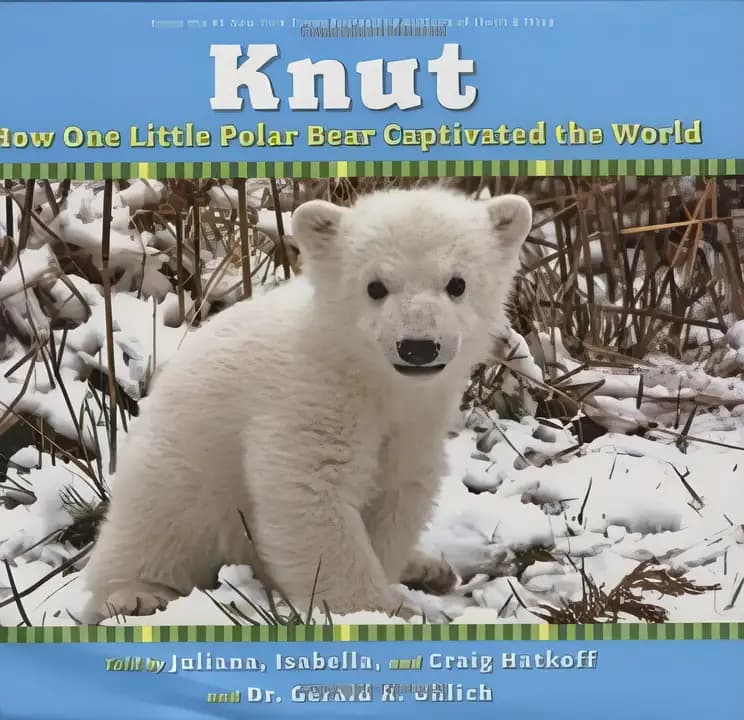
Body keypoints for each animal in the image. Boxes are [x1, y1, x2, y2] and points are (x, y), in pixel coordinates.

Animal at [80, 186, 532, 624]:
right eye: (375, 286)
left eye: (457, 283)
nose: (418, 347)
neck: (366, 374)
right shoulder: (308, 397)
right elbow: (310, 493)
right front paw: (378, 610)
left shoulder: (417, 421)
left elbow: (398, 493)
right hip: (177, 474)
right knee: (153, 528)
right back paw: (136, 595)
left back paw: (430, 568)